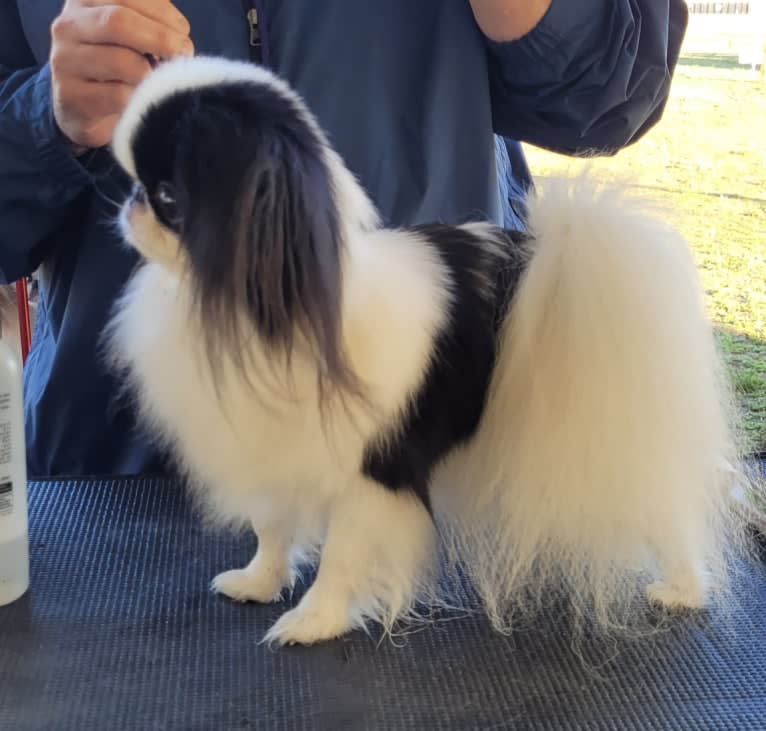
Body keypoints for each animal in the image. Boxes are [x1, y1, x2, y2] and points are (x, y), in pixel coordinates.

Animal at [102, 60, 760, 648]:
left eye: (168, 196)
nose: (128, 203)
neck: (268, 310)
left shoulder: (370, 475)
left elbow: (343, 555)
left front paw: (313, 622)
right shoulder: (272, 452)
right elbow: (274, 527)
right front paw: (259, 582)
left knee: (667, 519)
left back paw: (683, 589)